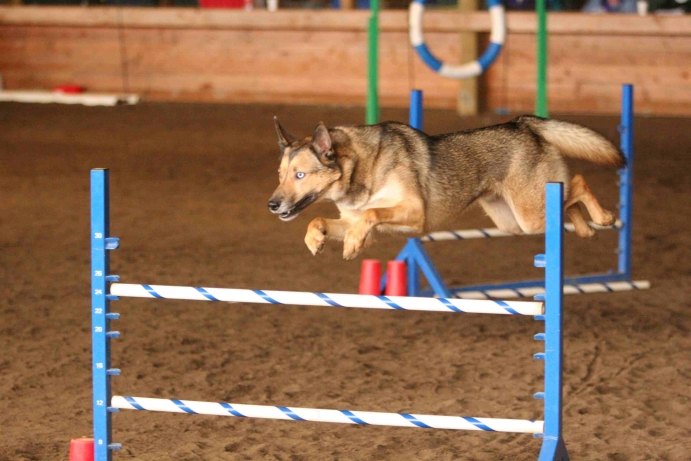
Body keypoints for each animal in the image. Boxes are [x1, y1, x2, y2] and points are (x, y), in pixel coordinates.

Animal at [268, 116, 624, 258]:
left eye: (300, 176)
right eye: (280, 175)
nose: (272, 205)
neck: (363, 170)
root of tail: (523, 123)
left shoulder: (414, 213)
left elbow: (371, 214)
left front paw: (352, 246)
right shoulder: (355, 220)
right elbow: (319, 220)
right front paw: (315, 240)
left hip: (530, 215)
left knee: (577, 184)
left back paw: (604, 218)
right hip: (515, 222)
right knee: (568, 201)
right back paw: (586, 230)